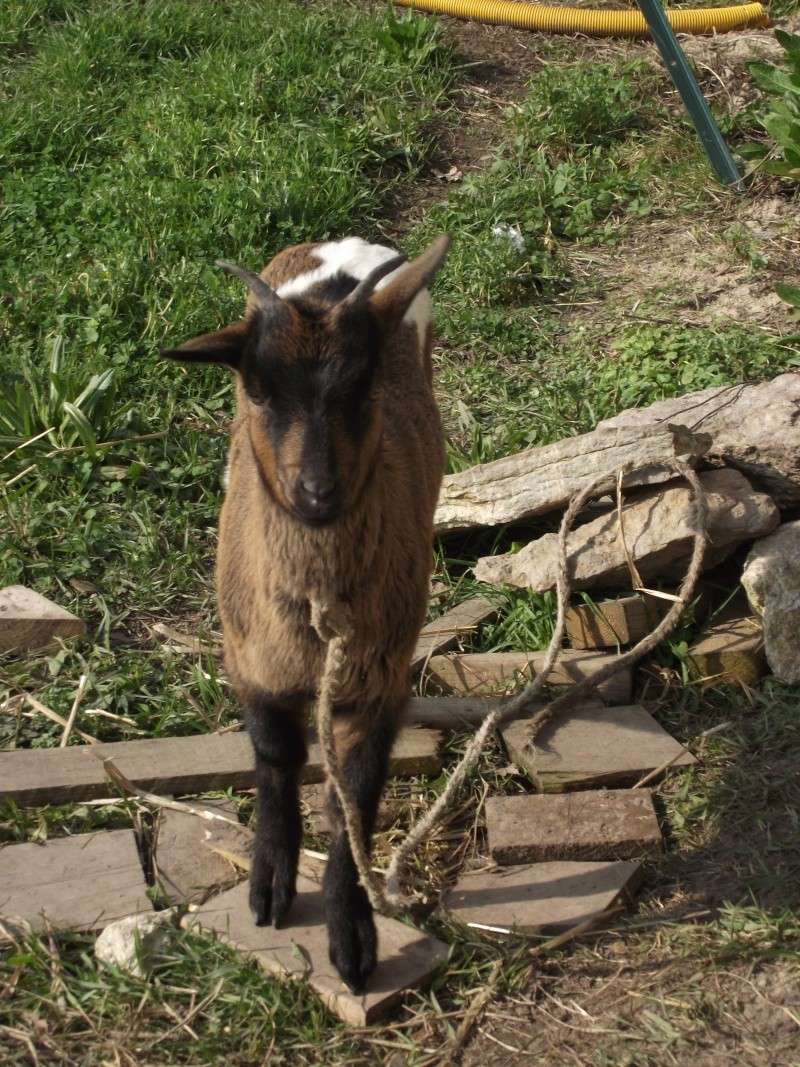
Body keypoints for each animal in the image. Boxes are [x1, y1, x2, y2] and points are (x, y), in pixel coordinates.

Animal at [163, 233, 452, 990]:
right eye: (258, 389)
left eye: (363, 384)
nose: (316, 492)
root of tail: (341, 244)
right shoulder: (250, 662)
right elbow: (274, 759)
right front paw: (269, 884)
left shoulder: (379, 681)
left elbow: (353, 795)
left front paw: (352, 938)